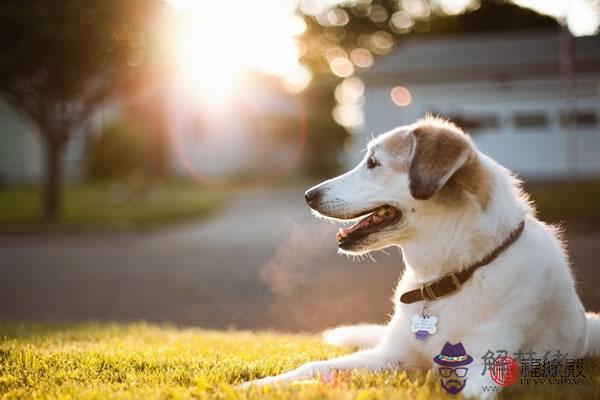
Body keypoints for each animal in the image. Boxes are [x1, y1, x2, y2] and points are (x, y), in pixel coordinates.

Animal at [240, 115, 600, 396]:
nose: (308, 195)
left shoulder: (485, 361)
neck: (450, 277)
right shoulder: (389, 356)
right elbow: (315, 367)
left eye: (373, 163)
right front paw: (260, 385)